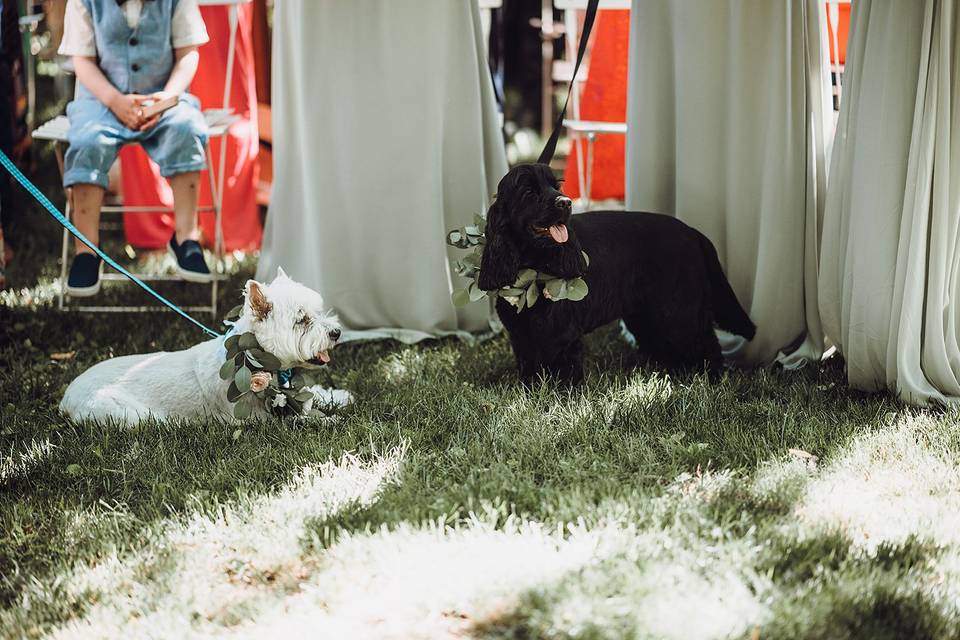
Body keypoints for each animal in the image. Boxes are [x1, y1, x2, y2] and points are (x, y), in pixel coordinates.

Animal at [60, 268, 352, 428]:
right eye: (301, 320)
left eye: (317, 311)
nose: (336, 333)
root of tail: (65, 398)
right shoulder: (255, 418)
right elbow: (293, 419)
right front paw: (326, 420)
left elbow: (310, 395)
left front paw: (339, 396)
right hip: (126, 414)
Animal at [480, 165, 756, 384]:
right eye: (528, 192)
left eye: (556, 187)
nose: (565, 202)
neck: (534, 266)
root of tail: (693, 232)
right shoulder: (522, 334)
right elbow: (529, 366)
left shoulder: (563, 333)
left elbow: (565, 370)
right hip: (646, 312)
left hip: (679, 308)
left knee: (705, 341)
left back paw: (713, 378)